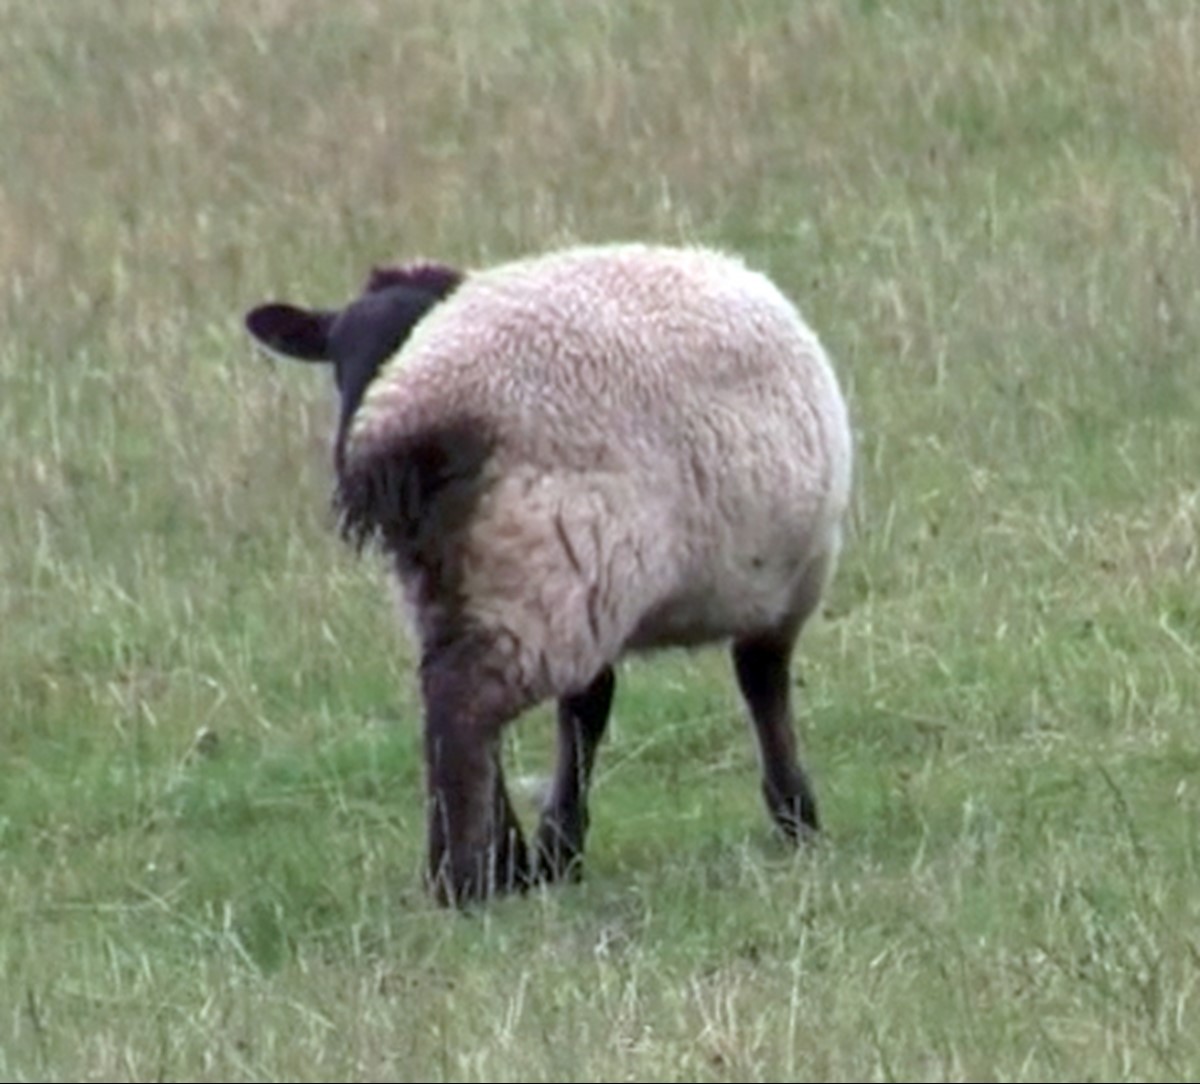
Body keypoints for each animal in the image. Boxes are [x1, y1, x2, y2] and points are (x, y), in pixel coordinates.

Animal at [241, 246, 854, 907]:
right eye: (338, 361)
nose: (342, 453)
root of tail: (416, 412)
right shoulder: (755, 586)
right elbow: (746, 689)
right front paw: (795, 814)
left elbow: (598, 704)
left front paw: (538, 853)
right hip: (549, 560)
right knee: (462, 703)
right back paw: (461, 879)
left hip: (484, 576)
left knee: (446, 696)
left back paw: (472, 866)